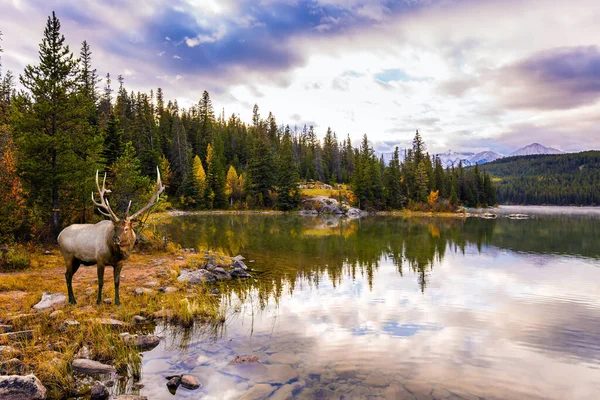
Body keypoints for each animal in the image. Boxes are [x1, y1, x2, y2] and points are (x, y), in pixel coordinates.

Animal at [57, 167, 164, 304]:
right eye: (115, 228)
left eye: (126, 228)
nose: (116, 239)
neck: (116, 253)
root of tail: (59, 236)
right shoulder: (100, 260)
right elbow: (101, 282)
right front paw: (98, 301)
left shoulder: (119, 263)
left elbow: (117, 282)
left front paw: (117, 302)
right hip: (68, 256)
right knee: (67, 275)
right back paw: (72, 300)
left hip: (77, 260)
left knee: (67, 275)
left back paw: (72, 299)